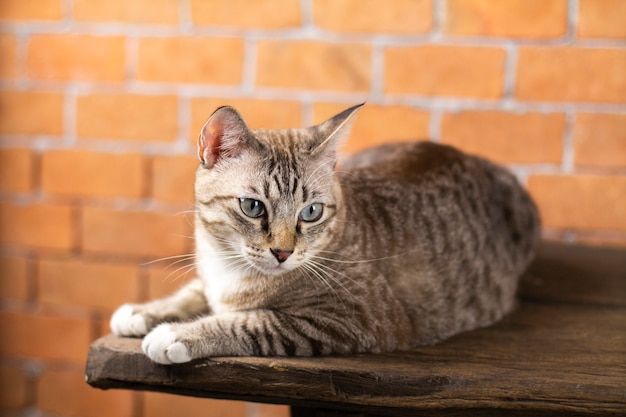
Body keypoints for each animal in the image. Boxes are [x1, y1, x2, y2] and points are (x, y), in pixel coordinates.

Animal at [109, 104, 540, 364]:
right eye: (253, 207)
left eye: (311, 212)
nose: (283, 252)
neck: (230, 268)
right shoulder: (212, 279)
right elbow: (194, 293)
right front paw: (146, 312)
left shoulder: (348, 319)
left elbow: (249, 322)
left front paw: (175, 334)